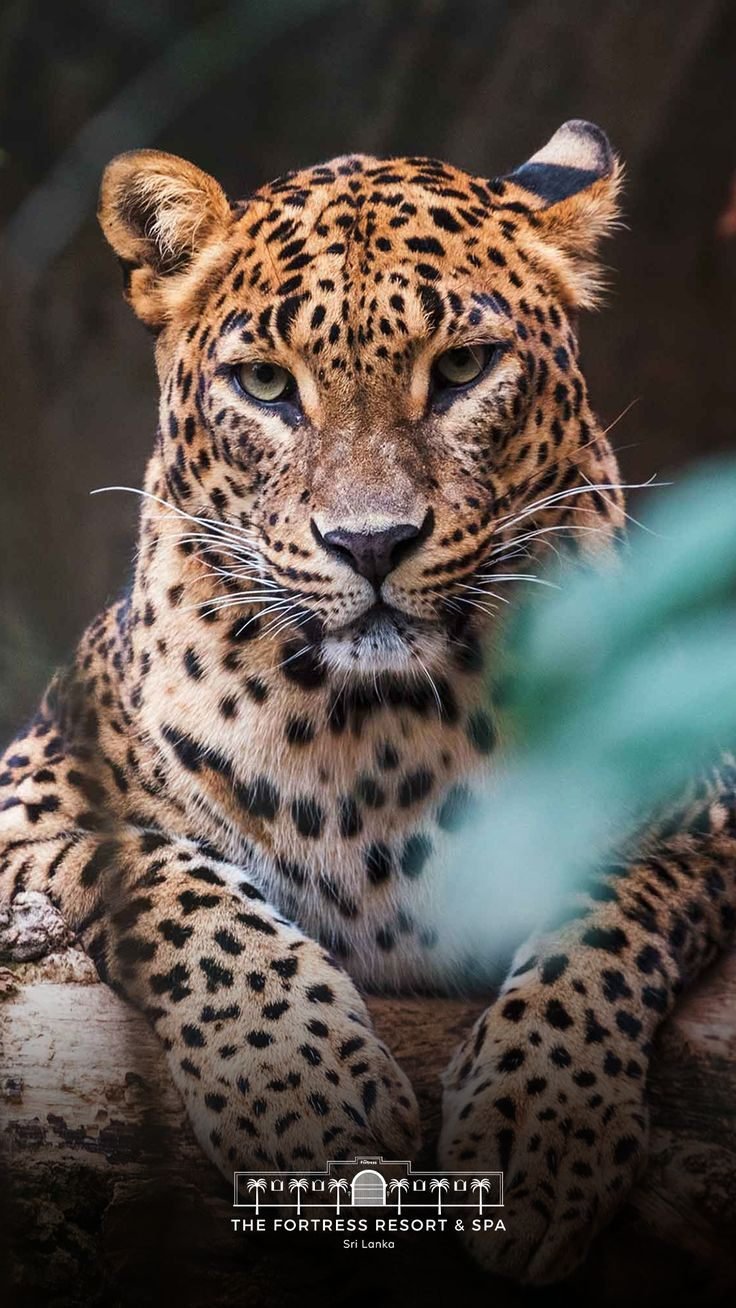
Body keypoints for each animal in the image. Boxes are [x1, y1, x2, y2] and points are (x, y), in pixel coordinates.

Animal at [2, 119, 735, 1286]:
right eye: (265, 384)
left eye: (464, 368)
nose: (372, 543)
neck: (382, 729)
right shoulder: (28, 812)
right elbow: (174, 883)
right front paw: (300, 1092)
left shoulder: (700, 811)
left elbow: (607, 917)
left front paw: (542, 1121)